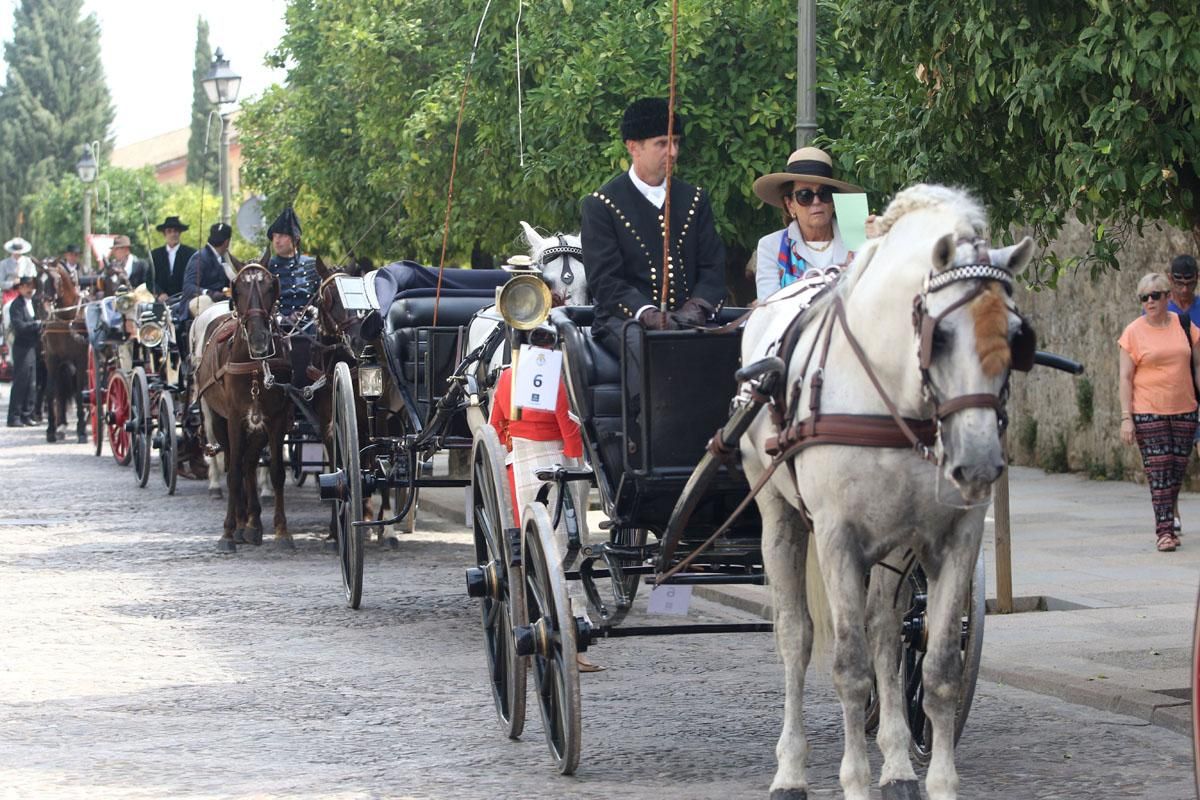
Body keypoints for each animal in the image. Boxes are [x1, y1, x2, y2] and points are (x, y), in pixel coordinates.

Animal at [36, 262, 89, 443]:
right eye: (37, 280)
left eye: (56, 280)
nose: (43, 311)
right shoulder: (52, 359)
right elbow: (51, 391)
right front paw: (51, 430)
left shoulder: (81, 359)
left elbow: (80, 391)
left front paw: (82, 430)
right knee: (60, 391)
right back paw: (61, 425)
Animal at [195, 266, 294, 554]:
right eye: (237, 289)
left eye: (271, 287)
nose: (260, 339)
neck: (255, 368)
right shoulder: (234, 419)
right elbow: (234, 472)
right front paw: (229, 532)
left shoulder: (275, 419)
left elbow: (276, 471)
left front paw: (281, 531)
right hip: (216, 419)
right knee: (233, 463)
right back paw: (240, 523)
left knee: (249, 461)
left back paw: (253, 524)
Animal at [739, 184, 1032, 800]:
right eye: (940, 335)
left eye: (1017, 338)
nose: (978, 462)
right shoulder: (837, 538)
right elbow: (849, 669)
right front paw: (853, 780)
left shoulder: (955, 538)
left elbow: (938, 669)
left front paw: (937, 781)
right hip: (780, 516)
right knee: (796, 637)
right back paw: (790, 769)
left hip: (895, 545)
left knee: (887, 634)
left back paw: (896, 764)